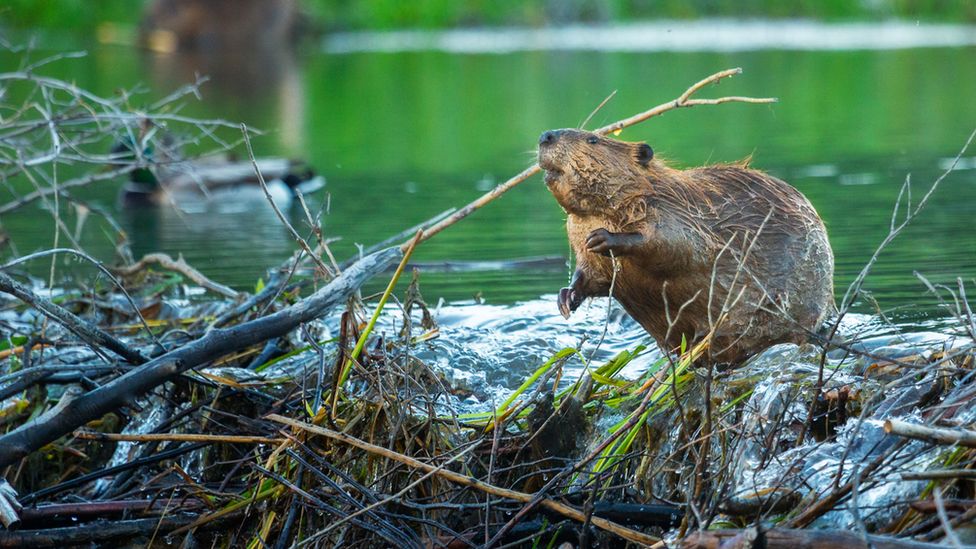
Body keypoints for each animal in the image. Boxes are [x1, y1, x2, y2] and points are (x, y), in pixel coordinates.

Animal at [536, 128, 836, 364]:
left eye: (593, 139)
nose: (545, 136)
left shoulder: (674, 211)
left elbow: (679, 246)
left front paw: (604, 238)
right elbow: (592, 275)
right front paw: (566, 298)